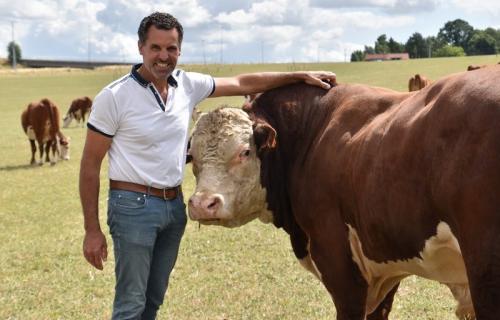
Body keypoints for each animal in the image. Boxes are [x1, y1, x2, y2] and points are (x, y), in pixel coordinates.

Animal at [188, 66, 500, 318]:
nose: (203, 204)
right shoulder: (384, 260)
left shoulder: (338, 263)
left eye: (245, 151)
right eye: (192, 156)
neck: (308, 132)